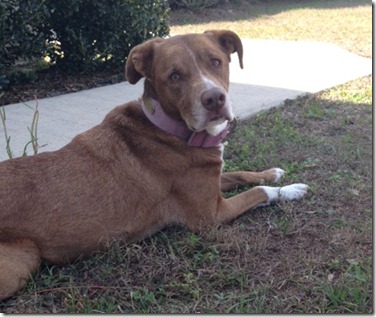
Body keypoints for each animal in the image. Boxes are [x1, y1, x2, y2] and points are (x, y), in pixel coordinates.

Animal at [0, 30, 308, 298]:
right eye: (174, 76)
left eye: (215, 61)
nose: (214, 99)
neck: (170, 129)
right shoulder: (212, 215)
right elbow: (258, 193)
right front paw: (291, 189)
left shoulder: (211, 181)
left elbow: (239, 174)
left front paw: (272, 173)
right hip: (21, 264)